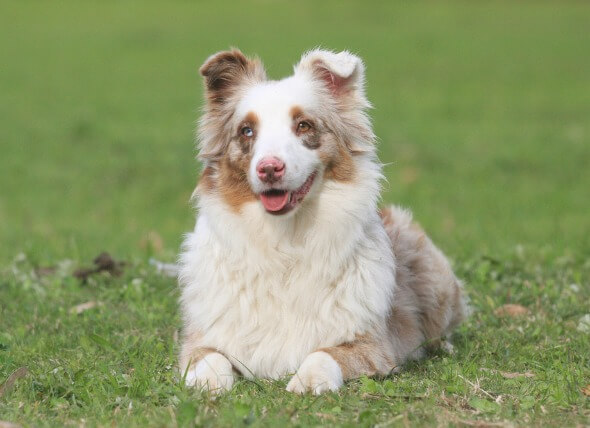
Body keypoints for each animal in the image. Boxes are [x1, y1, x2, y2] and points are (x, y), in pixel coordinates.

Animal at [178, 49, 470, 394]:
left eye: (303, 126)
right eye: (247, 131)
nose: (269, 168)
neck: (285, 241)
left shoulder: (374, 345)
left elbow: (324, 353)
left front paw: (308, 380)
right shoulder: (199, 339)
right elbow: (210, 358)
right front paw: (208, 383)